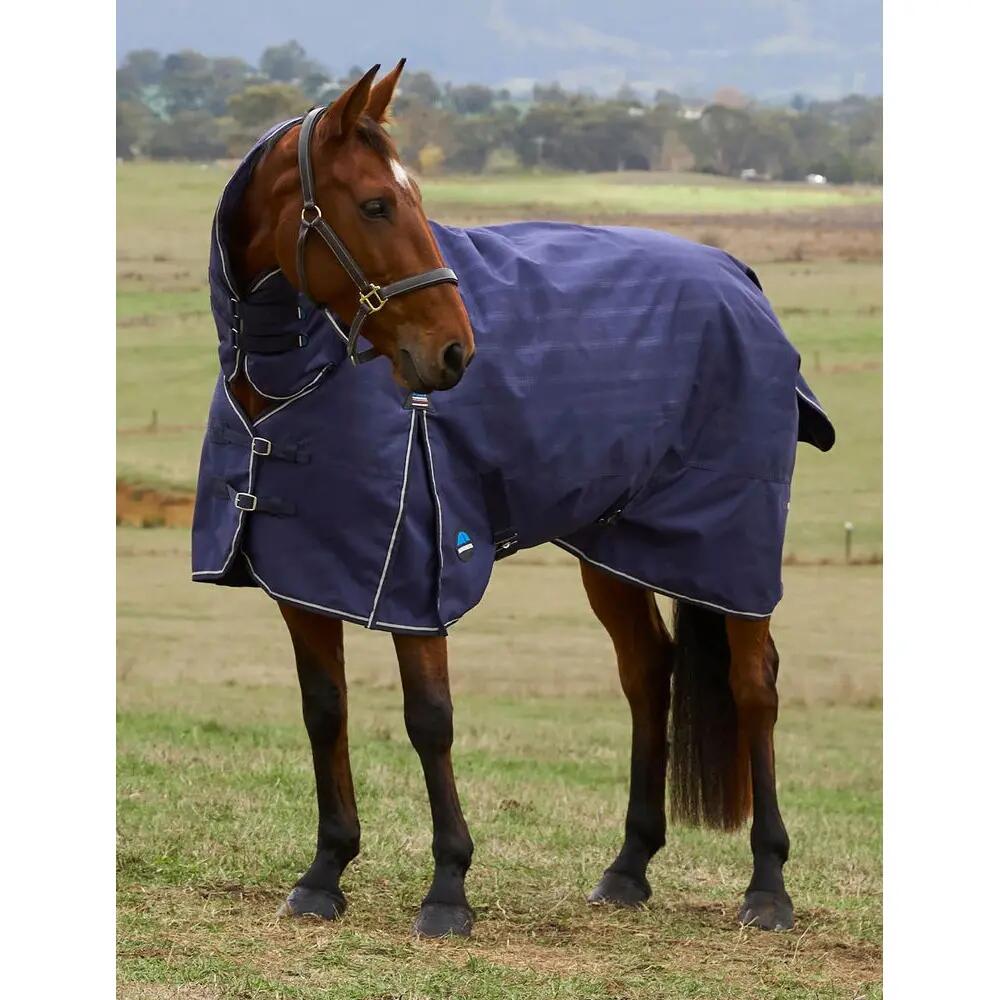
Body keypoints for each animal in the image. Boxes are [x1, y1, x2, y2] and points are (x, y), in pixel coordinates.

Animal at [199, 61, 831, 939]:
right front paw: (325, 872)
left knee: (754, 685)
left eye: (411, 199)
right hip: (618, 547)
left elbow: (429, 718)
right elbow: (324, 709)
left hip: (731, 546)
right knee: (649, 673)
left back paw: (767, 885)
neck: (295, 376)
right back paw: (628, 866)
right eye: (376, 204)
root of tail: (740, 277)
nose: (453, 352)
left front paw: (447, 889)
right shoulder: (303, 571)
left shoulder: (418, 570)